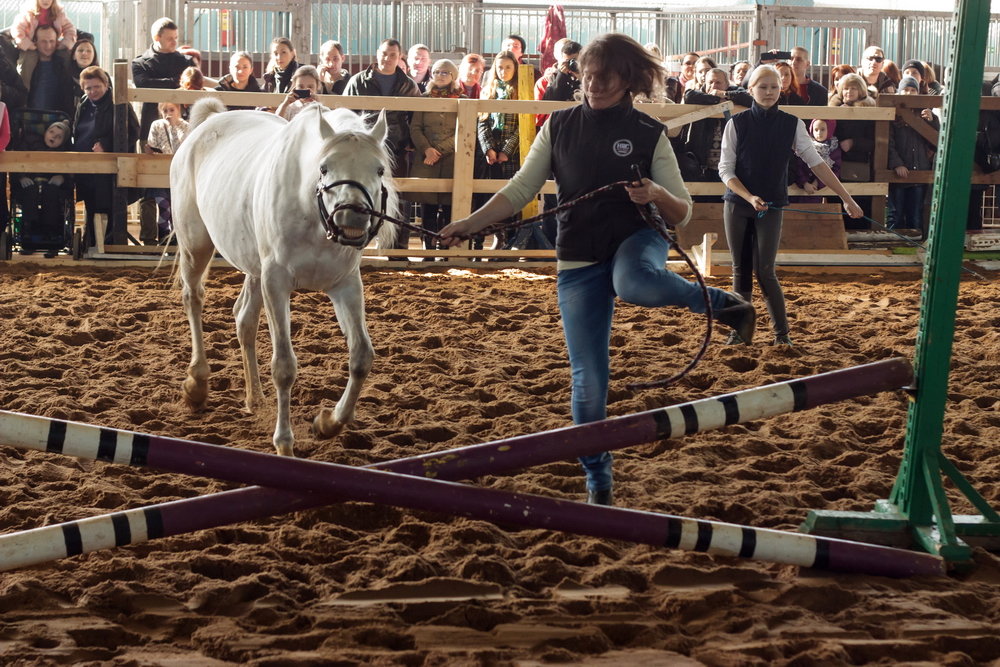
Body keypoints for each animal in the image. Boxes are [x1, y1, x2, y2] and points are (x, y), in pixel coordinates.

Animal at [170, 99, 396, 456]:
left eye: (379, 169)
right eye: (324, 168)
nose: (352, 215)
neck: (312, 211)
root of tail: (208, 123)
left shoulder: (345, 284)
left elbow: (361, 356)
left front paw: (328, 423)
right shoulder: (276, 283)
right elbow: (284, 367)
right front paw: (285, 444)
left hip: (254, 269)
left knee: (244, 320)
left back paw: (255, 399)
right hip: (196, 245)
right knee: (194, 298)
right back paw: (198, 384)